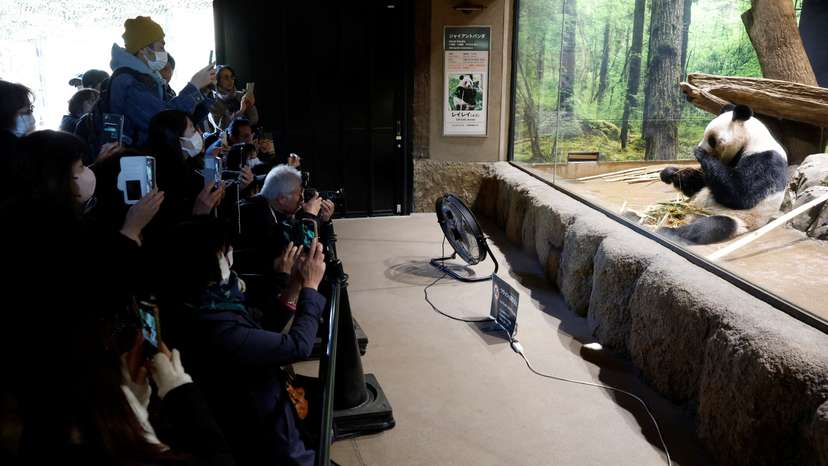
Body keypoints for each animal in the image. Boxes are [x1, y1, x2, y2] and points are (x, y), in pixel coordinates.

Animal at [658, 104, 788, 244]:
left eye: (711, 140)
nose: (700, 147)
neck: (752, 139)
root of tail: (690, 216)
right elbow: (700, 183)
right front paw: (671, 173)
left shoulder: (766, 160)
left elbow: (741, 194)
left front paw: (700, 153)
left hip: (738, 218)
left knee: (712, 226)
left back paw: (670, 232)